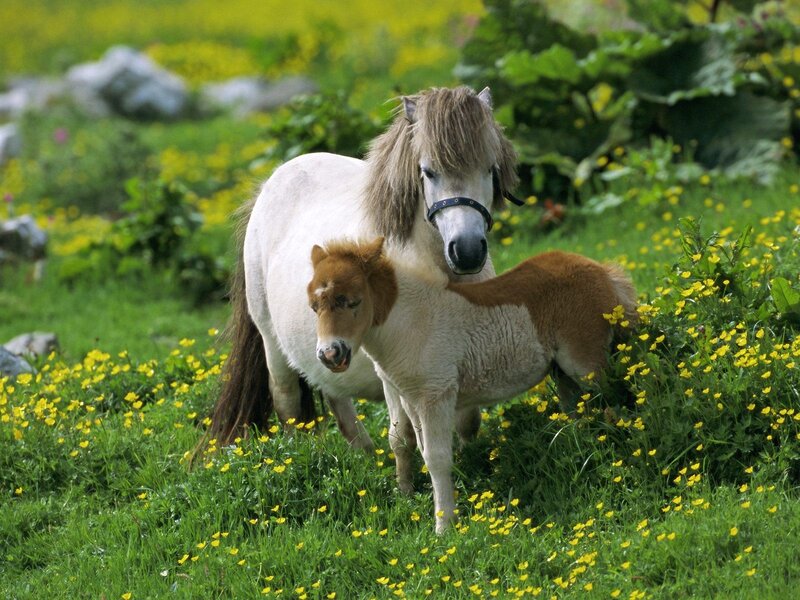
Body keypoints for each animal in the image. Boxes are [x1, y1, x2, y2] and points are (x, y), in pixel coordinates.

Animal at [206, 86, 520, 450]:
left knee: (334, 395)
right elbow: (406, 433)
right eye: (428, 171)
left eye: (490, 169)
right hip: (272, 342)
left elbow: (468, 420)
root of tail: (270, 185)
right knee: (287, 402)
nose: (467, 251)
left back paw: (366, 453)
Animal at [308, 238, 638, 533]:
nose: (330, 354)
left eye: (353, 301)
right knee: (576, 411)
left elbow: (438, 458)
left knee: (615, 402)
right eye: (313, 307)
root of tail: (603, 270)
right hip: (562, 372)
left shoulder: (436, 395)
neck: (411, 322)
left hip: (585, 365)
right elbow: (416, 448)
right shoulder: (411, 399)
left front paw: (444, 527)